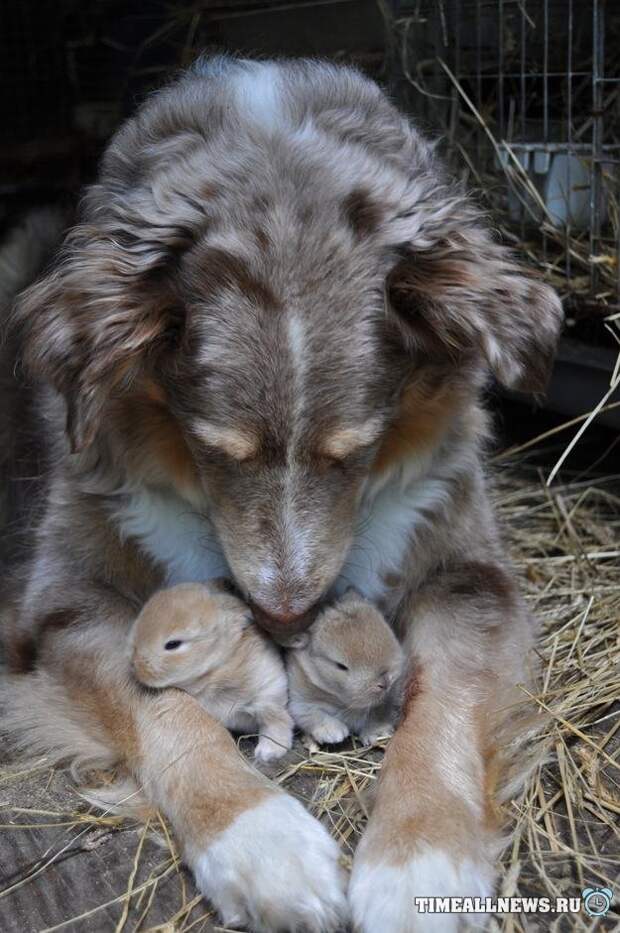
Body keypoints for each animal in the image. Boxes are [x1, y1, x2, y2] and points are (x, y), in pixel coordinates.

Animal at [128, 584, 294, 764]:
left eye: (173, 644)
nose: (136, 666)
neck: (215, 669)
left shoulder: (267, 695)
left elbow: (276, 723)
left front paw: (268, 752)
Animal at [284, 588, 404, 748]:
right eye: (340, 666)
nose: (384, 682)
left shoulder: (386, 703)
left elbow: (378, 715)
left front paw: (379, 733)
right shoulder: (299, 703)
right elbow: (312, 715)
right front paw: (334, 734)